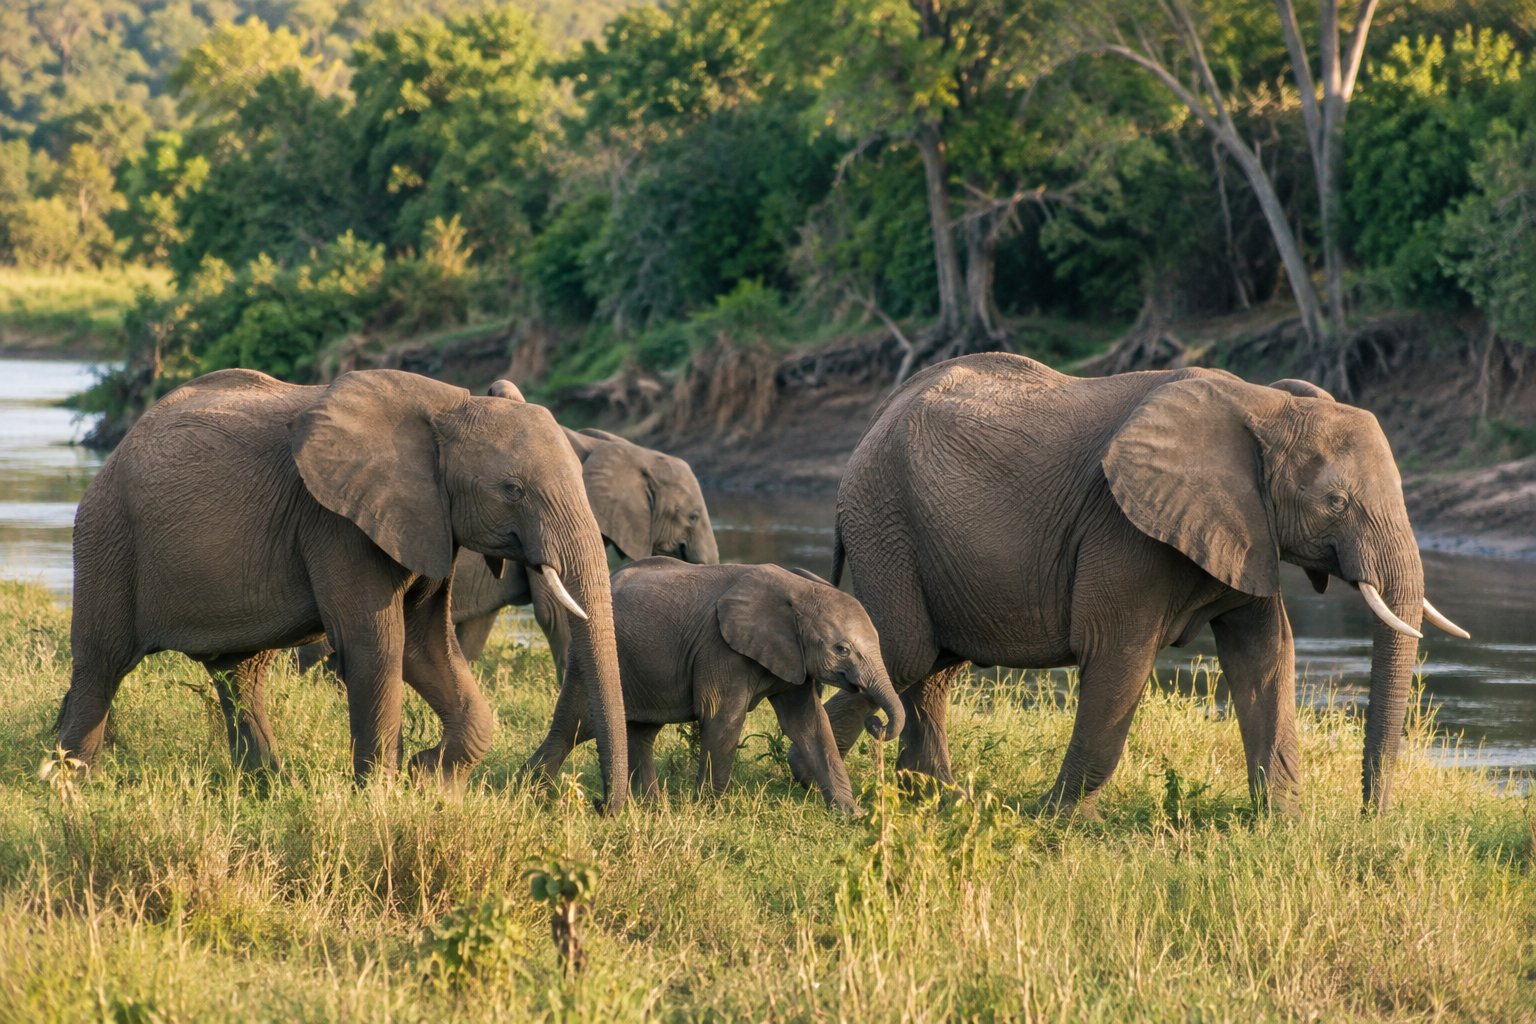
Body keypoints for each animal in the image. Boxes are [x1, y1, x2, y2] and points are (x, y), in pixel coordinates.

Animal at [56, 368, 631, 809]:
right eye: (512, 490)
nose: (605, 806)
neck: (447, 408)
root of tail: (115, 450)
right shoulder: (338, 524)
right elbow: (376, 645)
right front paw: (382, 799)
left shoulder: (428, 523)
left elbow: (425, 648)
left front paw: (430, 782)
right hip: (110, 535)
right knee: (102, 664)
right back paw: (72, 783)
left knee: (239, 675)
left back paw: (268, 788)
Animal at [559, 557, 905, 814]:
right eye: (842, 649)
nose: (876, 723)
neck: (798, 590)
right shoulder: (720, 648)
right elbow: (722, 715)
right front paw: (707, 811)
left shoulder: (792, 658)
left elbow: (808, 724)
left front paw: (852, 814)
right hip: (584, 660)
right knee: (572, 728)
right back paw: (546, 793)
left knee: (642, 733)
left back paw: (651, 807)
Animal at [795, 354, 1469, 816]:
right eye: (1336, 502)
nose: (1370, 818)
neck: (1265, 405)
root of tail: (872, 423)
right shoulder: (1124, 531)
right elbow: (1118, 655)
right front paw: (1059, 820)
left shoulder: (1244, 527)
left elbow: (1265, 655)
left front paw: (1283, 826)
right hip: (885, 518)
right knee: (907, 651)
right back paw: (809, 778)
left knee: (935, 663)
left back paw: (938, 797)